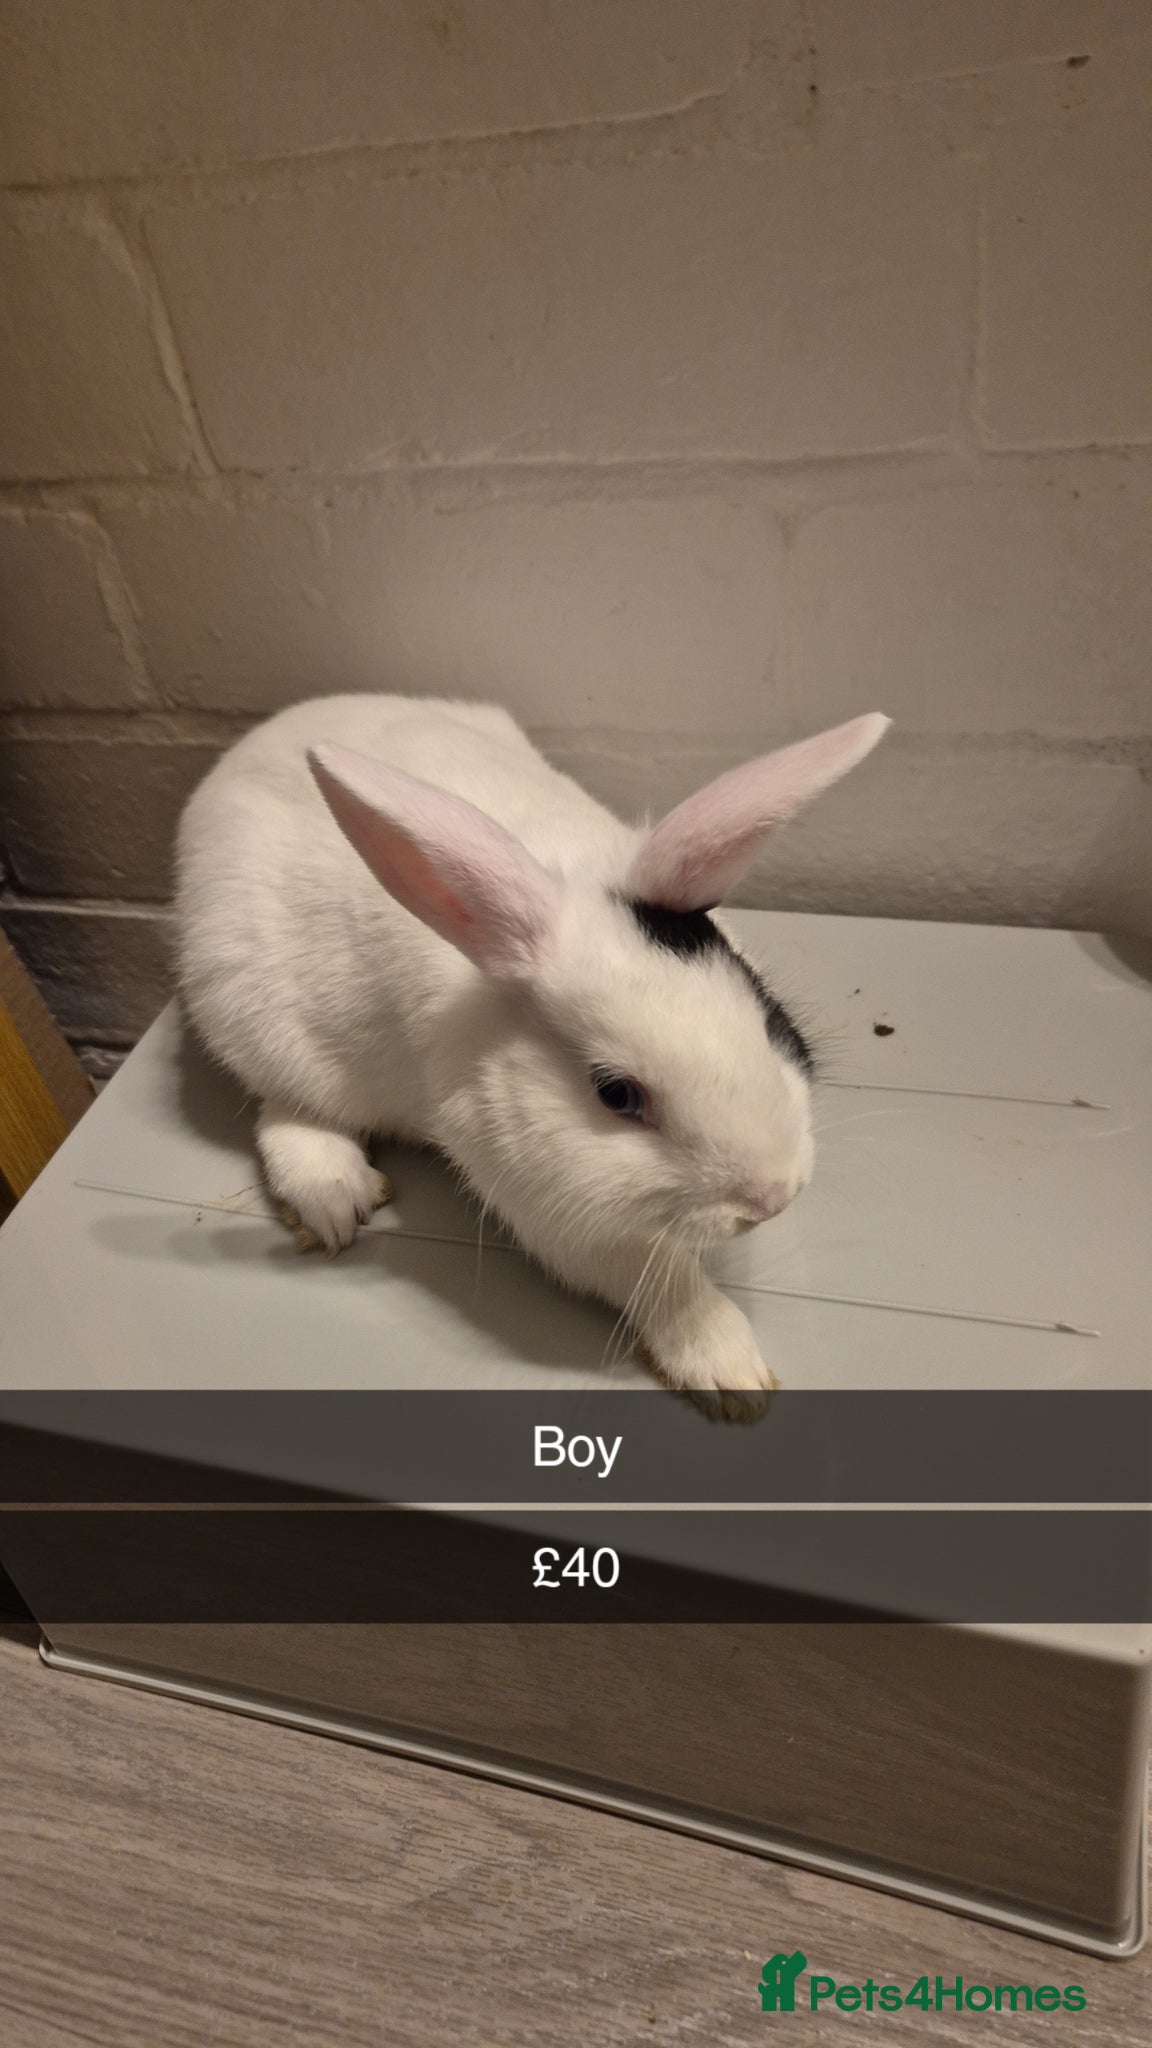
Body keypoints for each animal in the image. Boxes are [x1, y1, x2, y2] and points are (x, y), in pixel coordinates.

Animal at [174, 694, 889, 1397]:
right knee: (285, 1109)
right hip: (258, 1017)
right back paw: (333, 1197)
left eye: (770, 1020)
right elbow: (645, 1268)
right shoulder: (548, 1200)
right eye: (616, 1094)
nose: (773, 1198)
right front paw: (728, 1367)